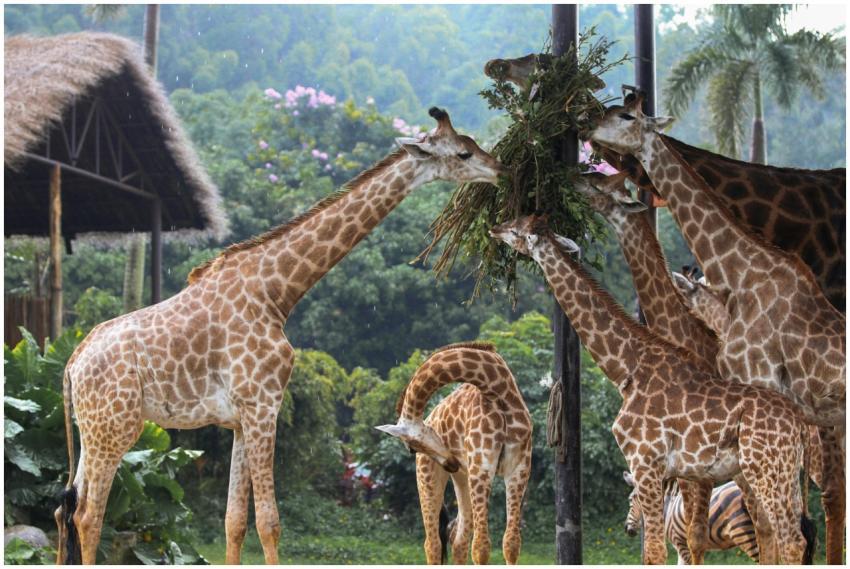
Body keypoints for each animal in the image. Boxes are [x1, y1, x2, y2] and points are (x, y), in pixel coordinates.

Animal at [53, 108, 505, 565]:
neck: (276, 292)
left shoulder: (238, 419)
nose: (500, 170)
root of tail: (71, 365)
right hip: (117, 426)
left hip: (93, 429)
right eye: (464, 153)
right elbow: (269, 522)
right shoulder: (263, 405)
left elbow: (234, 521)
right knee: (88, 515)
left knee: (65, 508)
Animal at [376, 342, 533, 565]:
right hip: (429, 478)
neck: (497, 388)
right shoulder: (482, 468)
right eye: (411, 449)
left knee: (458, 541)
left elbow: (511, 544)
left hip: (464, 479)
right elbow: (481, 547)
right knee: (433, 543)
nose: (451, 463)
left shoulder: (519, 467)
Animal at [490, 214, 812, 564]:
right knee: (784, 537)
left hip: (765, 471)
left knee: (790, 539)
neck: (626, 369)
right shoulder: (666, 470)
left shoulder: (644, 461)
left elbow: (656, 551)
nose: (494, 228)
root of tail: (799, 424)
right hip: (781, 475)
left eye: (516, 230)